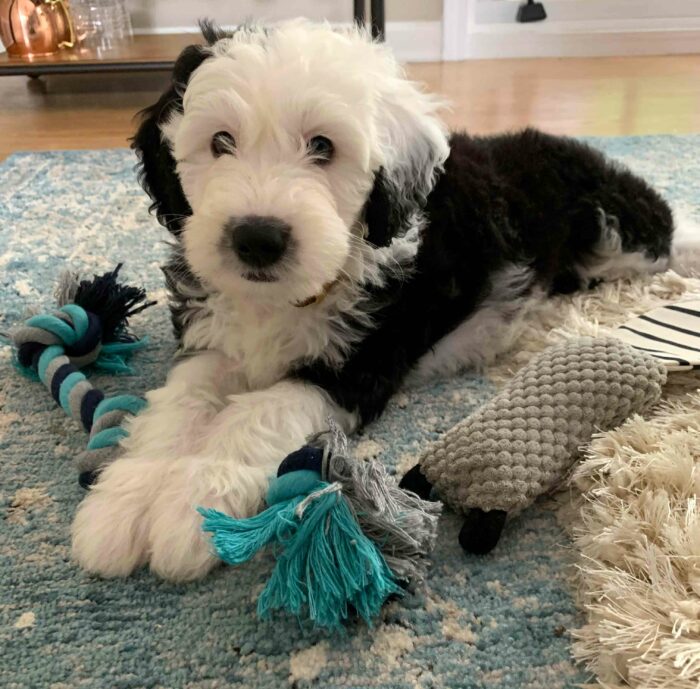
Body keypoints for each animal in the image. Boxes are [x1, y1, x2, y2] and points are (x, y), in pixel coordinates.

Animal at [72, 22, 688, 580]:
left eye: (322, 146)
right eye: (220, 141)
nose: (257, 238)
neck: (289, 297)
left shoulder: (357, 365)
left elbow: (254, 415)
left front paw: (193, 510)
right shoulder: (213, 342)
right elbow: (178, 407)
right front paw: (122, 505)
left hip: (616, 234)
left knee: (670, 231)